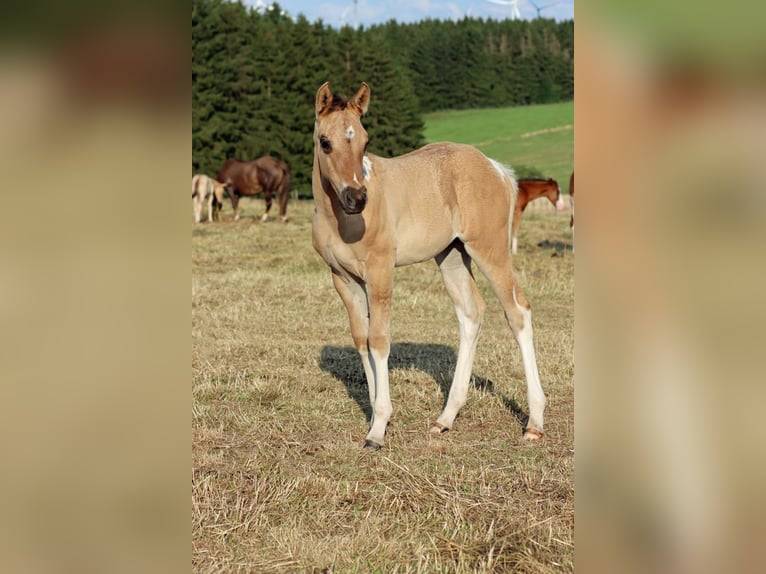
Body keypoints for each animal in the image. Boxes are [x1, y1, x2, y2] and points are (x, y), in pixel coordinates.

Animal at [311, 82, 546, 449]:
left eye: (365, 140)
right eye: (325, 142)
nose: (356, 198)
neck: (341, 220)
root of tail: (495, 168)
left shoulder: (380, 273)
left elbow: (379, 340)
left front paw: (378, 428)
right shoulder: (344, 280)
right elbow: (361, 340)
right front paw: (376, 418)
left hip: (489, 249)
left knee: (518, 311)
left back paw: (534, 423)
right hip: (452, 255)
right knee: (470, 313)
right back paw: (445, 418)